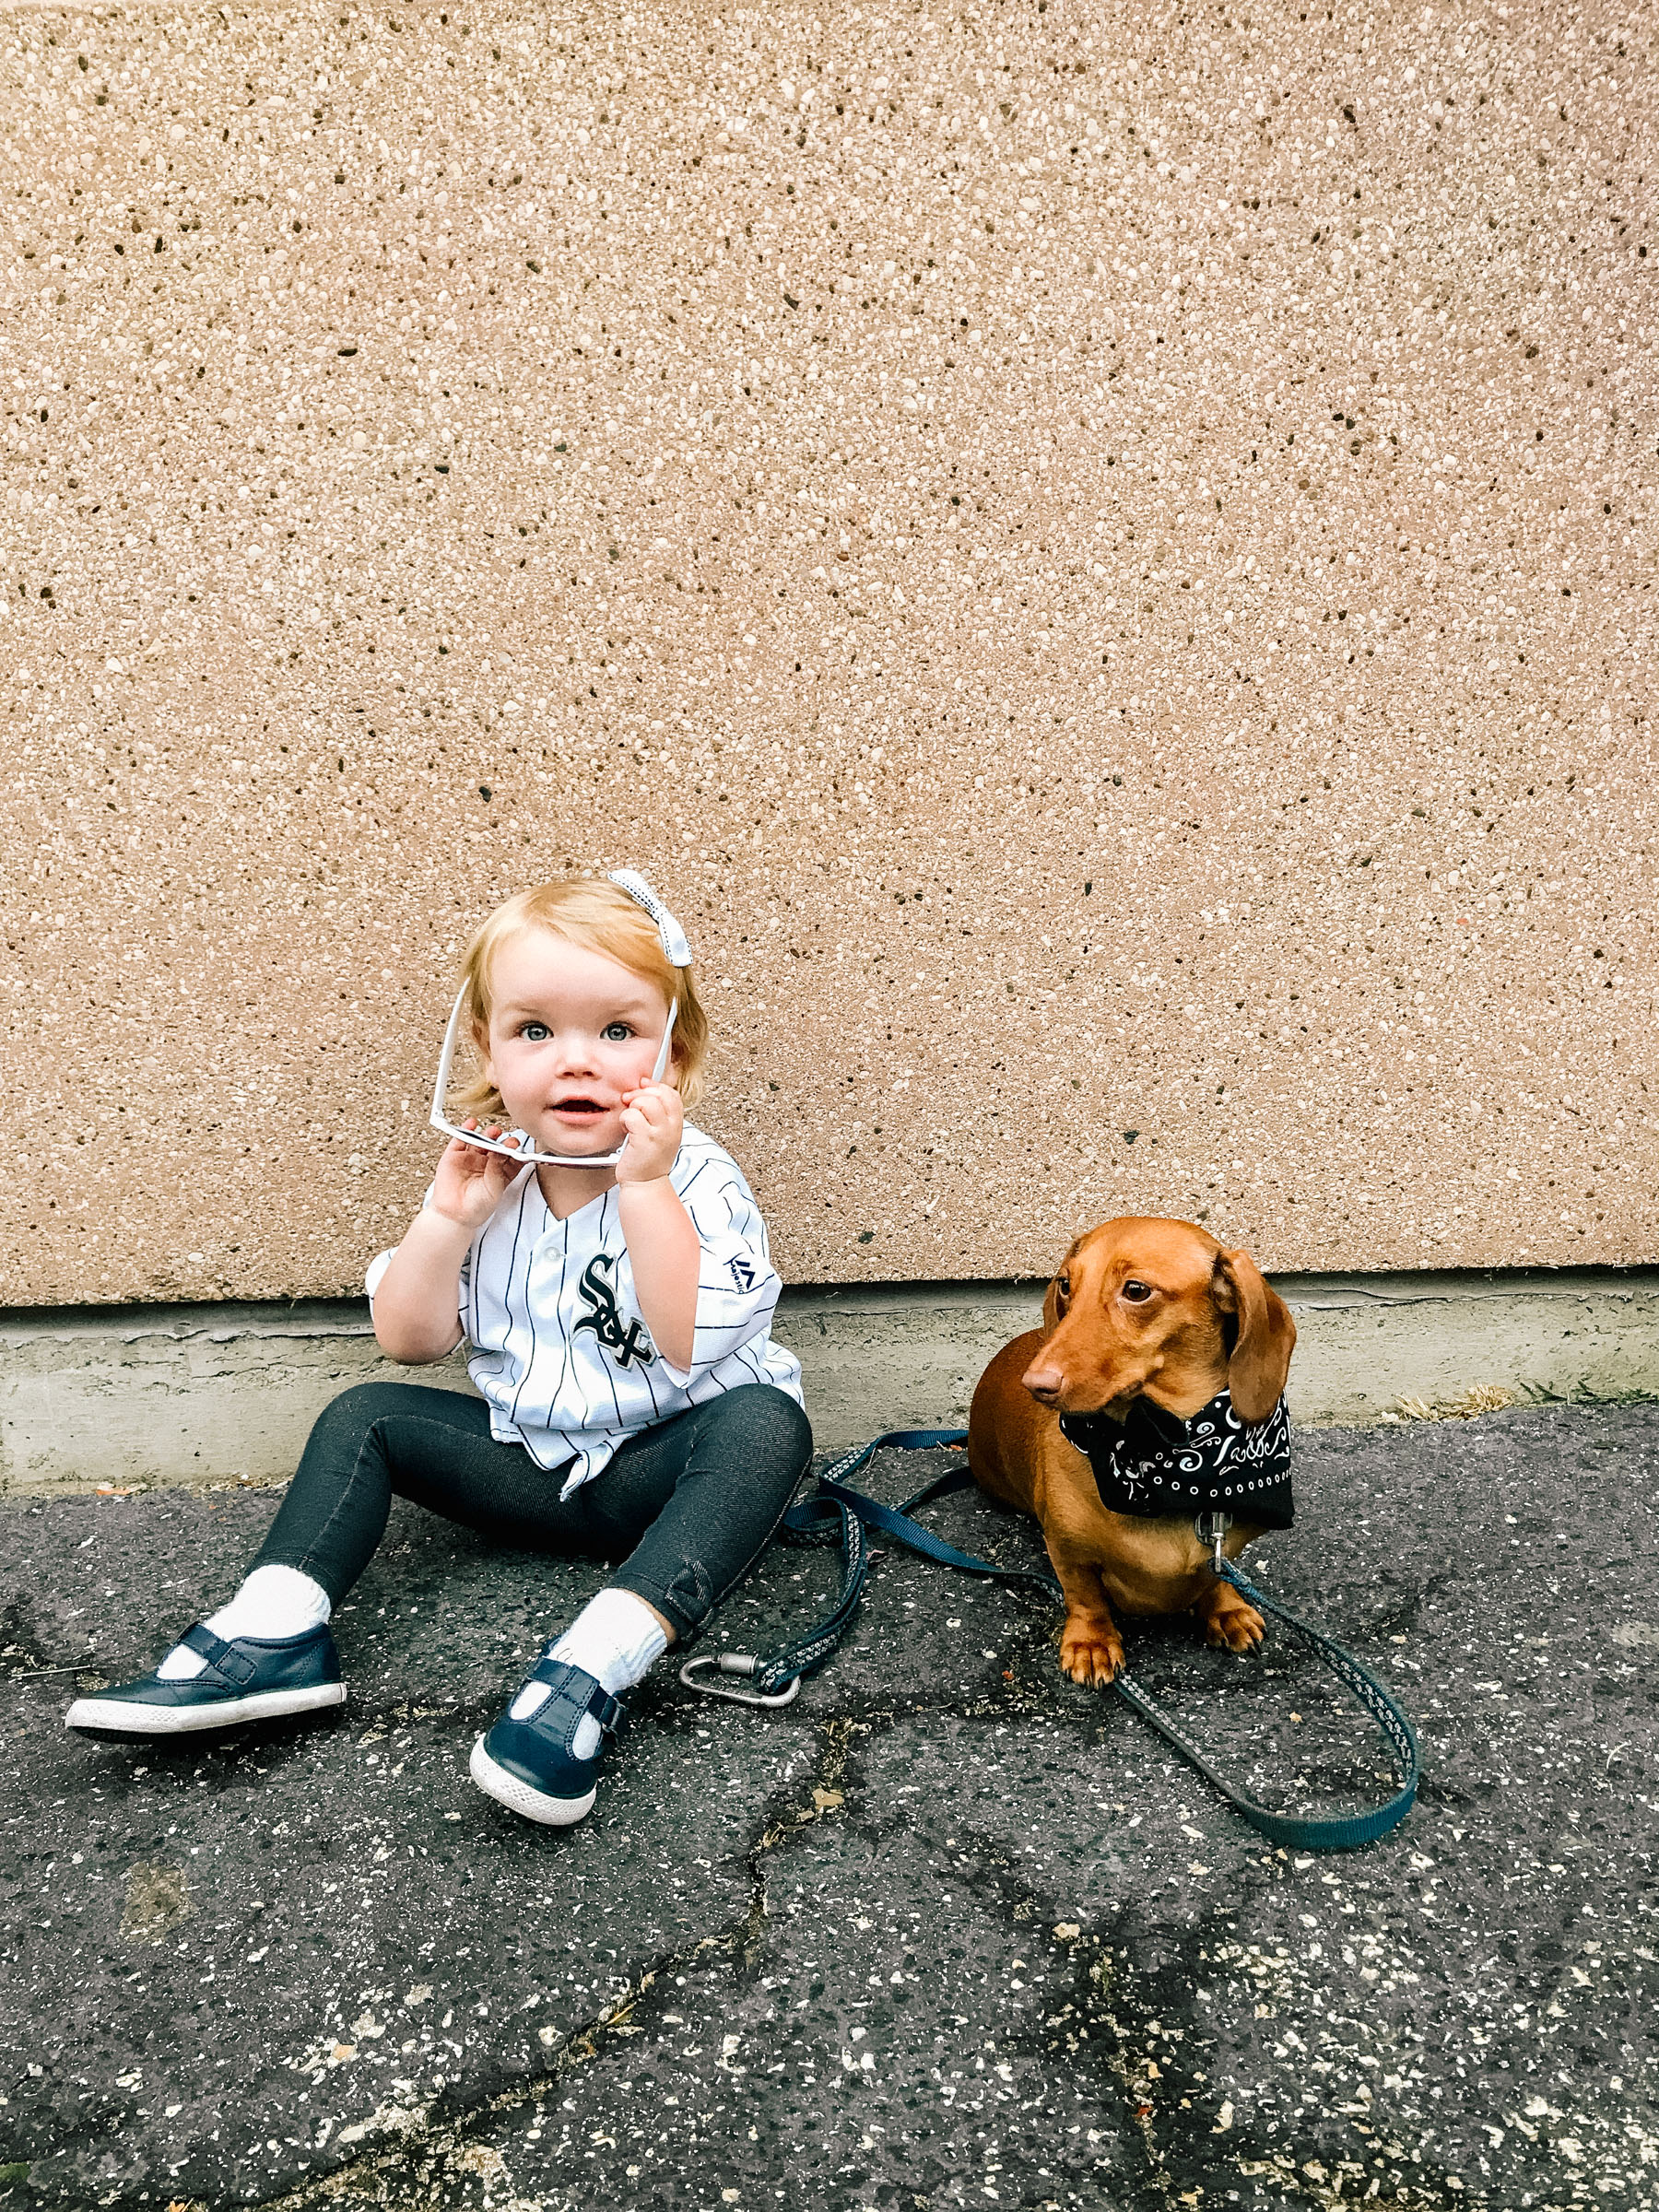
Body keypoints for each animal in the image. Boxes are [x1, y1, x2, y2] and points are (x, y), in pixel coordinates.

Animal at [973, 1220, 1300, 1681]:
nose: (1036, 1384)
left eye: (1136, 1290)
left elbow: (1216, 1578)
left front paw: (1226, 1611)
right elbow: (1085, 1596)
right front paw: (1091, 1643)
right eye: (1066, 1284)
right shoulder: (1067, 1549)